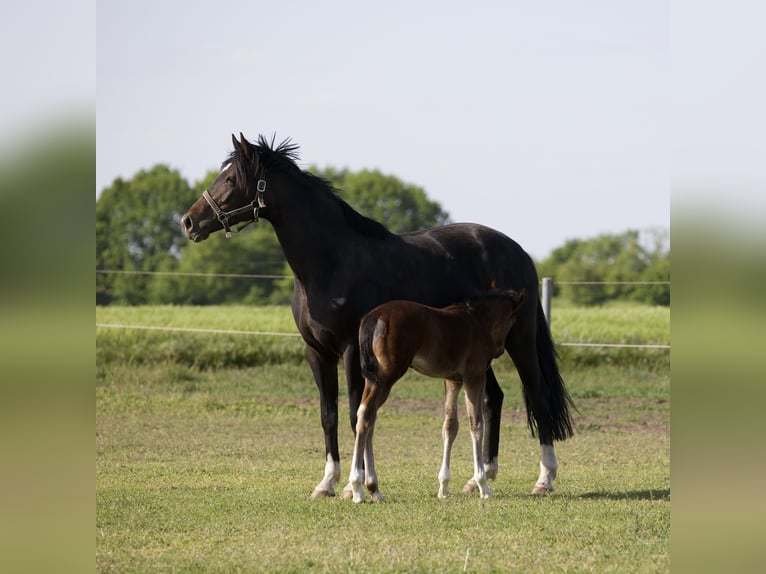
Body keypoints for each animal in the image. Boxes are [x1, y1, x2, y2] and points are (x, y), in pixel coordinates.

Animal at [352, 290, 528, 502]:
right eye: (513, 319)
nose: (499, 350)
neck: (479, 319)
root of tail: (375, 316)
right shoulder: (474, 377)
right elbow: (476, 424)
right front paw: (483, 485)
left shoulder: (452, 380)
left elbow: (450, 426)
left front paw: (443, 487)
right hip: (386, 378)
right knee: (366, 415)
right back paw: (357, 488)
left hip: (373, 379)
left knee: (369, 418)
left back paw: (374, 489)